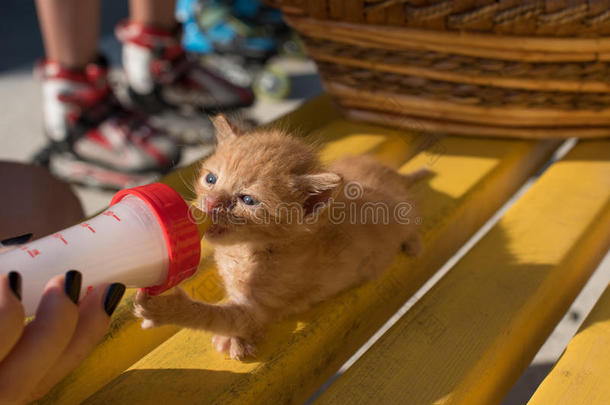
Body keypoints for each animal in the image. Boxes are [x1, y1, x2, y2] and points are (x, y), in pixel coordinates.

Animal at [134, 115, 422, 358]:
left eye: (248, 200)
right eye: (211, 179)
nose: (211, 203)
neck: (246, 251)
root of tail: (391, 173)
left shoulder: (260, 311)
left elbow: (220, 317)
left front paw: (166, 309)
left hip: (403, 213)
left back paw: (413, 243)